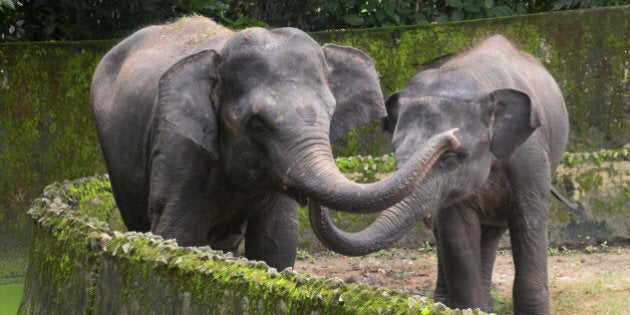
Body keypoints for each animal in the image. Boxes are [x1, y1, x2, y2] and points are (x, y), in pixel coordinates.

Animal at [90, 16, 460, 272]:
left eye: (331, 114)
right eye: (255, 124)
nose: (453, 137)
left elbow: (276, 242)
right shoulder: (179, 149)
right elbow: (177, 233)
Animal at [312, 34, 572, 314]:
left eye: (450, 158)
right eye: (396, 156)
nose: (449, 136)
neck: (478, 81)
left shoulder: (530, 160)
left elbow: (529, 222)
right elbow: (456, 235)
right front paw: (469, 308)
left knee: (494, 231)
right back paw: (448, 302)